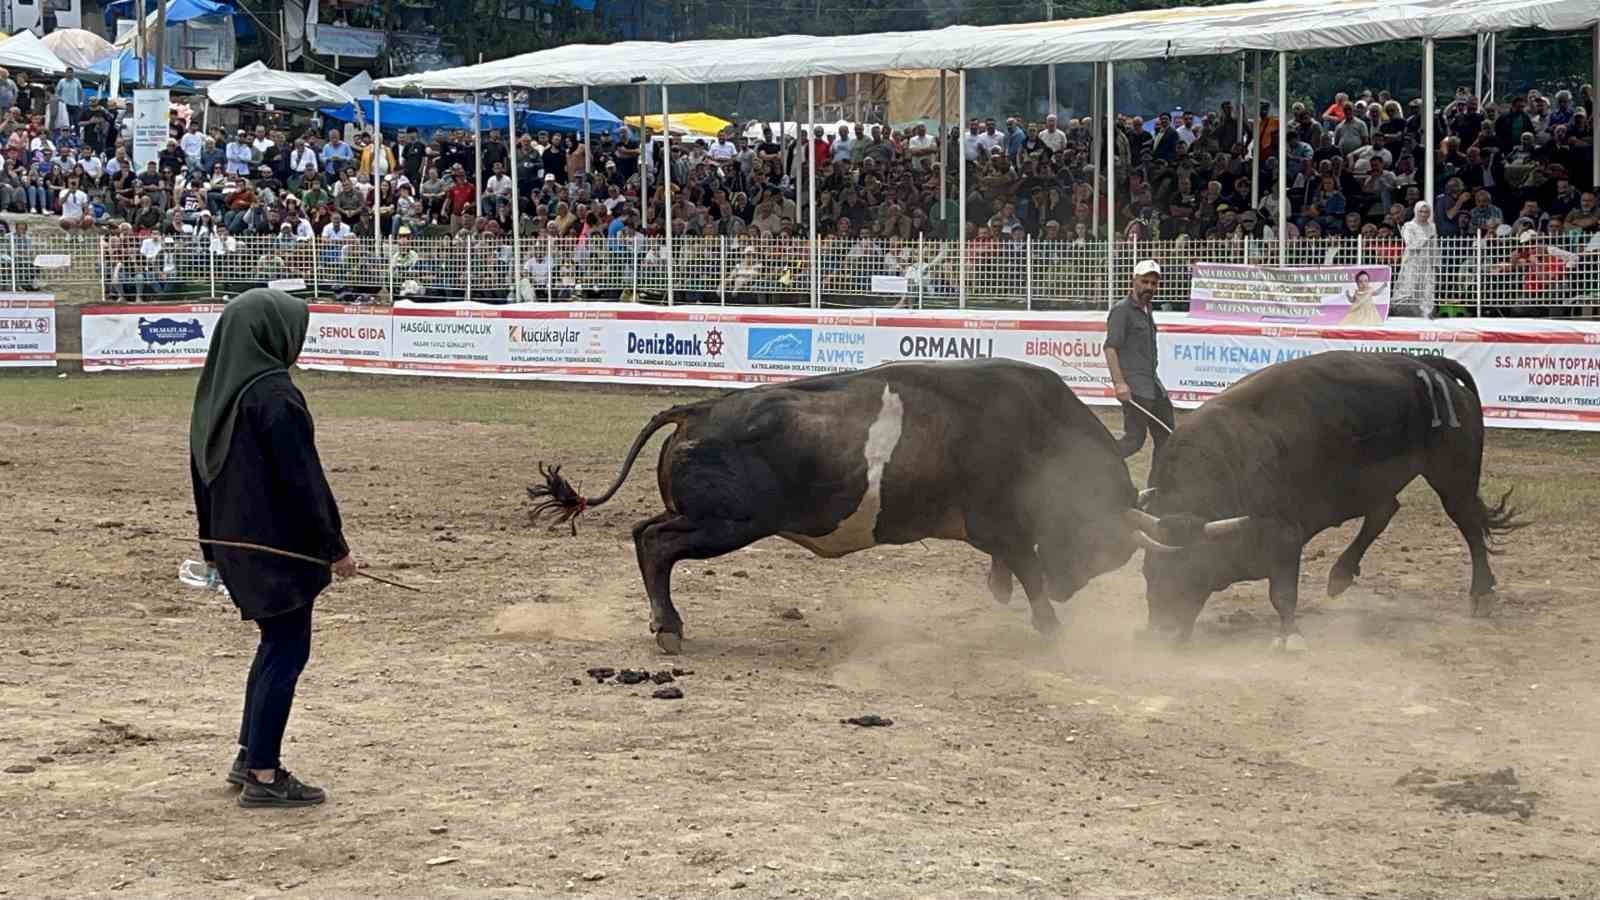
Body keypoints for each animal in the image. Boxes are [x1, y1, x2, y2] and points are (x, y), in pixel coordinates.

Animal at [531, 355, 1228, 650]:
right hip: (726, 523)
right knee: (654, 542)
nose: (1066, 586)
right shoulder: (1000, 523)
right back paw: (669, 627)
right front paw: (1048, 621)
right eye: (1101, 545)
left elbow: (1013, 564)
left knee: (645, 534)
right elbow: (1023, 562)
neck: (1039, 430)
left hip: (712, 519)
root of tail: (699, 409)